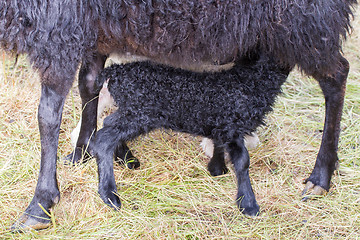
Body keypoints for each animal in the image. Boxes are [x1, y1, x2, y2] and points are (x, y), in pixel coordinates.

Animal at [93, 54, 290, 216]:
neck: (251, 81)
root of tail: (114, 72)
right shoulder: (233, 126)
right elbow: (242, 162)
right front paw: (248, 204)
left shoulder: (221, 123)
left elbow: (218, 144)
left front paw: (217, 169)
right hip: (139, 112)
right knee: (103, 139)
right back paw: (109, 194)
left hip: (130, 111)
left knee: (108, 123)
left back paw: (126, 158)